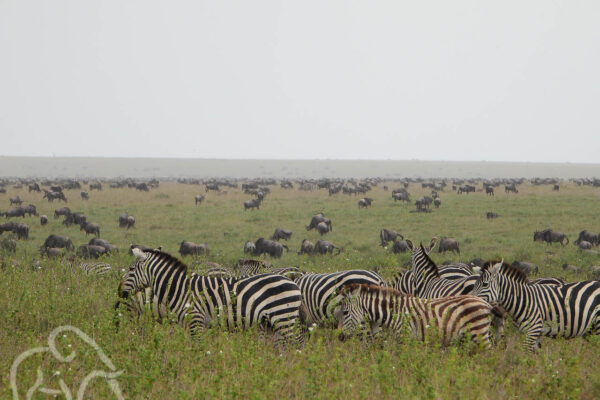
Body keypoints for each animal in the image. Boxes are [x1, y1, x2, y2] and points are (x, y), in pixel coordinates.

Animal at [118, 247, 304, 344]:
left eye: (131, 269)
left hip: (283, 318)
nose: (119, 291)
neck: (181, 288)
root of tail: (293, 282)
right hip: (272, 322)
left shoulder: (196, 322)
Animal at [338, 282, 502, 348]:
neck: (393, 314)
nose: (339, 337)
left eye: (345, 312)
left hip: (479, 333)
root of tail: (487, 304)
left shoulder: (404, 339)